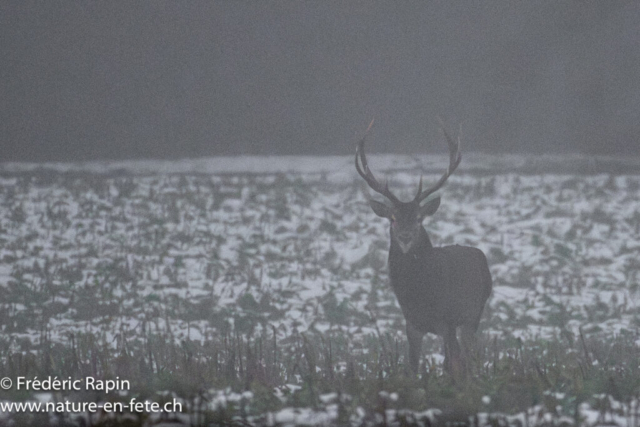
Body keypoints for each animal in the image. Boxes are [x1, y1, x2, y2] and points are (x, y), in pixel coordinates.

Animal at [355, 121, 492, 378]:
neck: (420, 296)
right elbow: (412, 367)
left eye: (419, 219)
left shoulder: (448, 320)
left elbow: (453, 365)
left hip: (474, 314)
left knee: (466, 359)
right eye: (393, 219)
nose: (405, 237)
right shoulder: (412, 324)